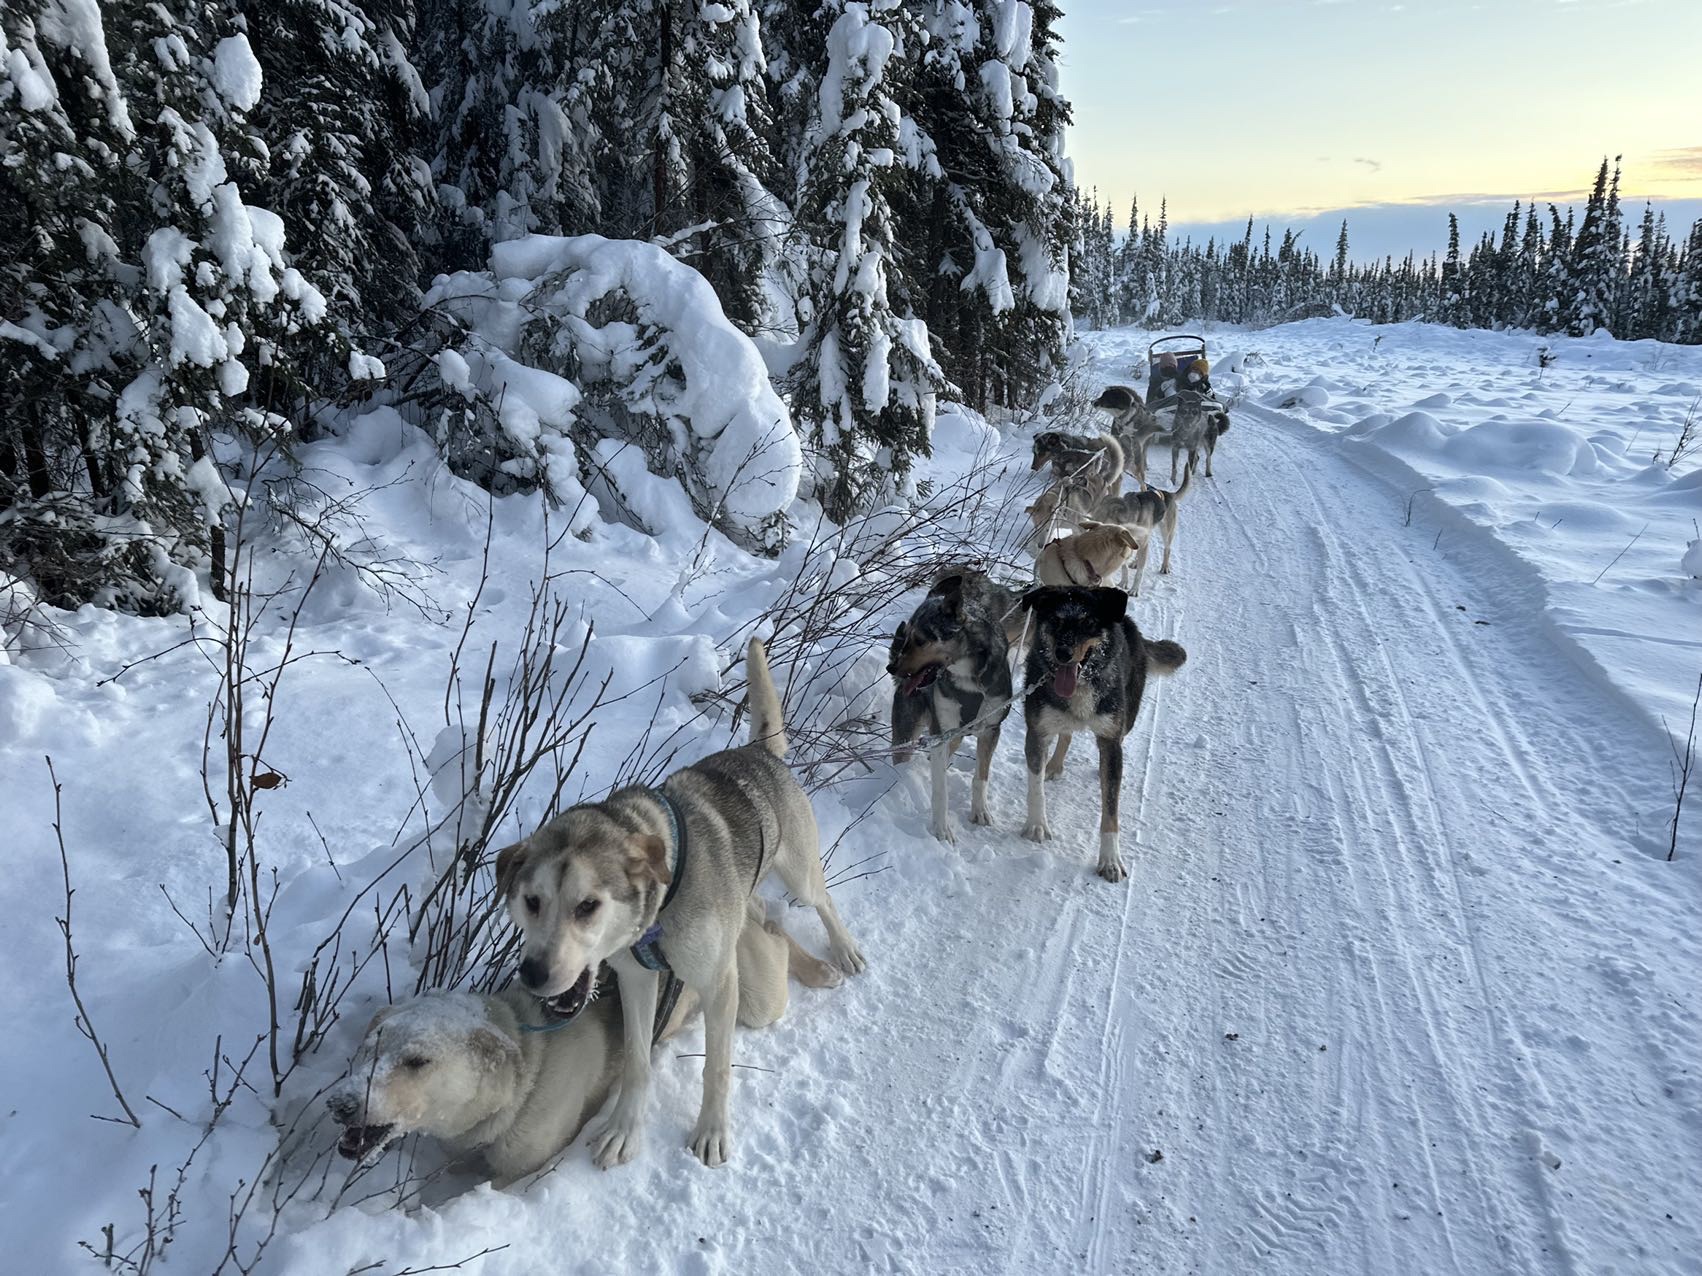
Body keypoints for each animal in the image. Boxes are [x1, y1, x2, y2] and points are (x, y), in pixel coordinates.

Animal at [493, 639, 864, 1170]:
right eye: (531, 901)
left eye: (588, 905)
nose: (533, 973)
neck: (661, 912)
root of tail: (758, 750)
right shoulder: (636, 980)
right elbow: (637, 1061)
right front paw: (625, 1129)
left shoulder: (718, 983)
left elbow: (717, 1068)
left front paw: (711, 1131)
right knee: (761, 912)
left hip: (799, 871)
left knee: (824, 900)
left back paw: (844, 951)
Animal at [891, 575, 1021, 843]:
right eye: (907, 636)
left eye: (920, 640)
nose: (892, 667)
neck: (968, 679)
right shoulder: (941, 733)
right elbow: (941, 791)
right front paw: (942, 830)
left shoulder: (991, 730)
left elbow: (981, 777)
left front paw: (980, 811)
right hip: (908, 732)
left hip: (957, 735)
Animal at [1021, 588, 1184, 877]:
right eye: (1055, 621)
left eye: (1088, 623)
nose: (1063, 653)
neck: (1080, 685)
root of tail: (1131, 625)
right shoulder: (1037, 732)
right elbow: (1036, 787)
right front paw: (1037, 825)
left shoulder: (1109, 738)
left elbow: (1111, 810)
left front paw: (1110, 859)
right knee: (1066, 733)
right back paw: (1054, 765)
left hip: (1126, 720)